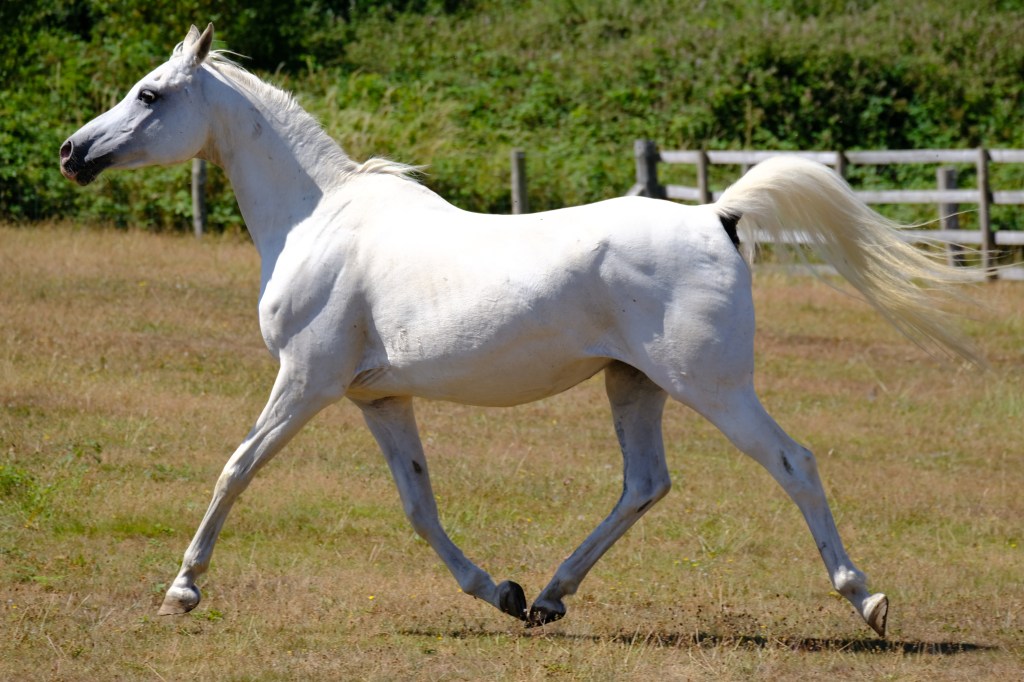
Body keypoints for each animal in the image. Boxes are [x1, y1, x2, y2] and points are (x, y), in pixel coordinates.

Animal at [60, 24, 982, 638]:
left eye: (150, 94)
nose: (73, 152)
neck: (316, 221)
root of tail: (718, 215)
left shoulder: (306, 380)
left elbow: (237, 467)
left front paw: (183, 588)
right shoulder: (377, 399)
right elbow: (420, 505)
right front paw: (496, 591)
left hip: (712, 387)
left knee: (792, 463)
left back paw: (867, 599)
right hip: (634, 385)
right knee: (645, 483)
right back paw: (547, 596)